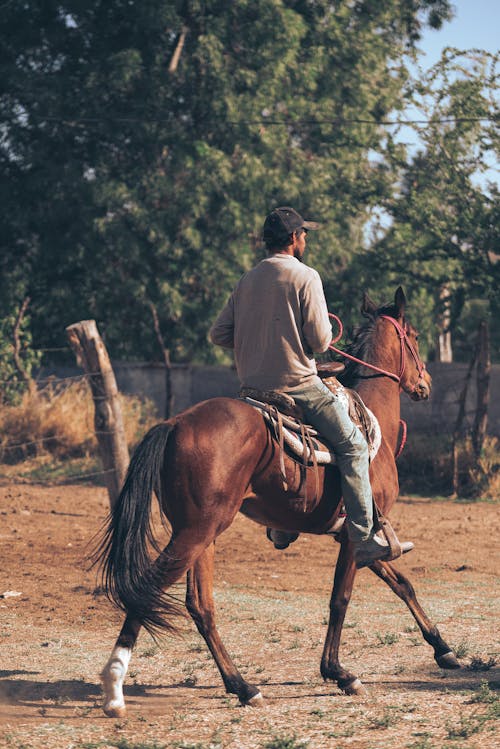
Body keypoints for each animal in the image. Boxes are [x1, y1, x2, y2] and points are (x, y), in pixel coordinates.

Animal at [94, 284, 460, 716]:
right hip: (196, 532)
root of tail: (176, 423)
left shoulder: (359, 537)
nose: (426, 383)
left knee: (200, 606)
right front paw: (339, 673)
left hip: (200, 534)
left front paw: (443, 649)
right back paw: (115, 687)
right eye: (415, 337)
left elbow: (402, 584)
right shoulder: (358, 536)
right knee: (150, 589)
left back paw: (241, 685)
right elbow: (341, 599)